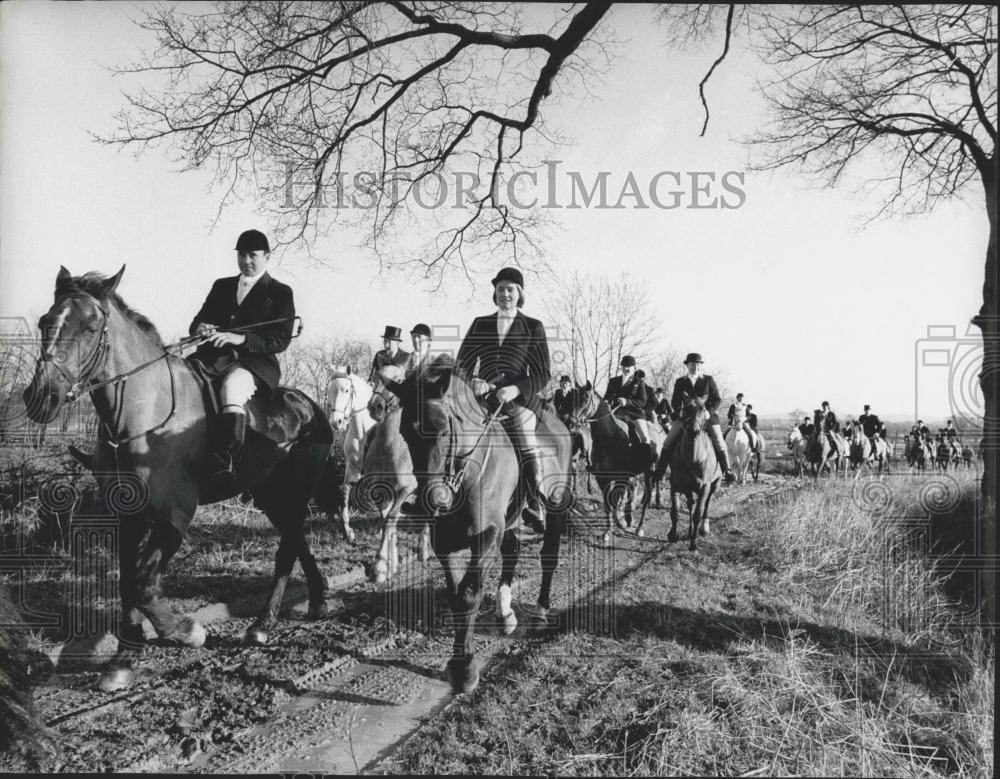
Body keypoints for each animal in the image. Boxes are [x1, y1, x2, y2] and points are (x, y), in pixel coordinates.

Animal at [22, 266, 336, 688]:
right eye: (45, 322)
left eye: (90, 328)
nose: (41, 397)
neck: (141, 413)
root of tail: (309, 406)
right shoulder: (127, 515)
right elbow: (129, 583)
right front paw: (123, 660)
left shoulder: (175, 514)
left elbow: (144, 585)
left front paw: (187, 631)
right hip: (269, 494)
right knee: (295, 537)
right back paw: (317, 597)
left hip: (296, 489)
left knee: (287, 549)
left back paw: (262, 624)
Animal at [380, 354, 572, 696]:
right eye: (404, 433)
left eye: (443, 429)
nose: (431, 501)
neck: (465, 475)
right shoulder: (446, 543)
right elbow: (457, 596)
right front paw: (459, 663)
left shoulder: (486, 536)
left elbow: (469, 593)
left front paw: (465, 669)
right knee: (512, 551)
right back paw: (505, 612)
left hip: (556, 508)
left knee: (548, 555)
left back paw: (539, 611)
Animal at [652, 394, 724, 552]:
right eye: (685, 408)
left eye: (703, 408)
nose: (693, 430)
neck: (692, 458)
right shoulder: (676, 485)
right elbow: (675, 511)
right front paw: (673, 535)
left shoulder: (704, 487)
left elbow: (698, 513)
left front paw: (693, 543)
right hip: (688, 488)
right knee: (690, 503)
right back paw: (691, 530)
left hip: (714, 484)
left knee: (706, 505)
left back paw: (703, 529)